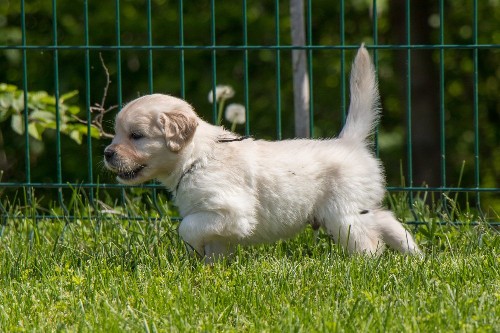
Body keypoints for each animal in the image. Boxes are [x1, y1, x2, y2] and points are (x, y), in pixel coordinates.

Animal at [104, 44, 422, 262]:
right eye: (117, 133)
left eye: (136, 136)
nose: (107, 153)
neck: (196, 159)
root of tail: (349, 142)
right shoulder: (216, 220)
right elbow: (214, 247)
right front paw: (209, 271)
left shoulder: (230, 211)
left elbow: (187, 228)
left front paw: (194, 252)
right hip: (361, 206)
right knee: (388, 220)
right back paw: (414, 255)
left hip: (343, 214)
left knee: (370, 241)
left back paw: (368, 265)